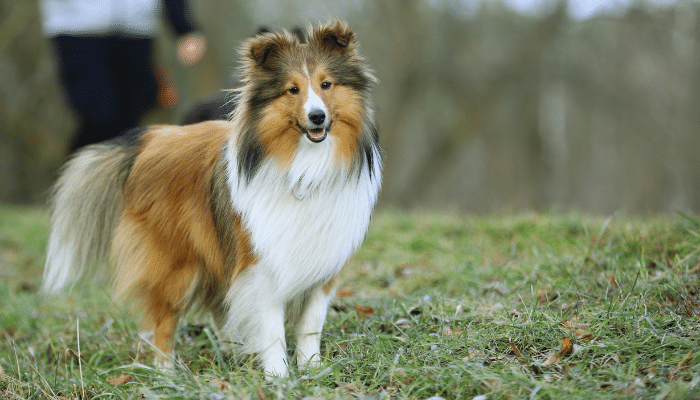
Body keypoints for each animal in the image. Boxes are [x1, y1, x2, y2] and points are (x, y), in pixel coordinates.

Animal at [42, 21, 382, 378]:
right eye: (292, 89)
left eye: (326, 84)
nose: (317, 117)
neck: (303, 168)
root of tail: (151, 139)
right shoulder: (261, 261)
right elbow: (272, 326)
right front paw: (278, 377)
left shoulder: (323, 262)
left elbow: (310, 324)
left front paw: (311, 370)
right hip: (177, 264)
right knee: (165, 320)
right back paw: (166, 374)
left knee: (218, 304)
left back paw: (233, 352)